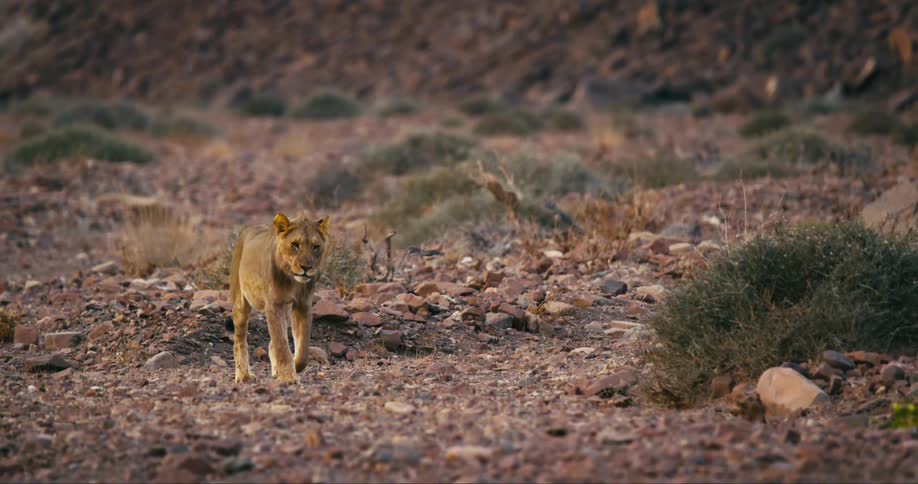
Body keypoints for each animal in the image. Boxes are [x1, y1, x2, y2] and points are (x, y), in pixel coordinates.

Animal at [228, 212, 329, 384]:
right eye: (295, 244)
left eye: (316, 247)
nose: (306, 267)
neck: (292, 280)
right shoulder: (274, 305)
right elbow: (281, 344)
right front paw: (288, 377)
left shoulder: (303, 305)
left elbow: (303, 347)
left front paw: (295, 366)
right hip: (240, 302)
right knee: (239, 340)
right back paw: (244, 376)